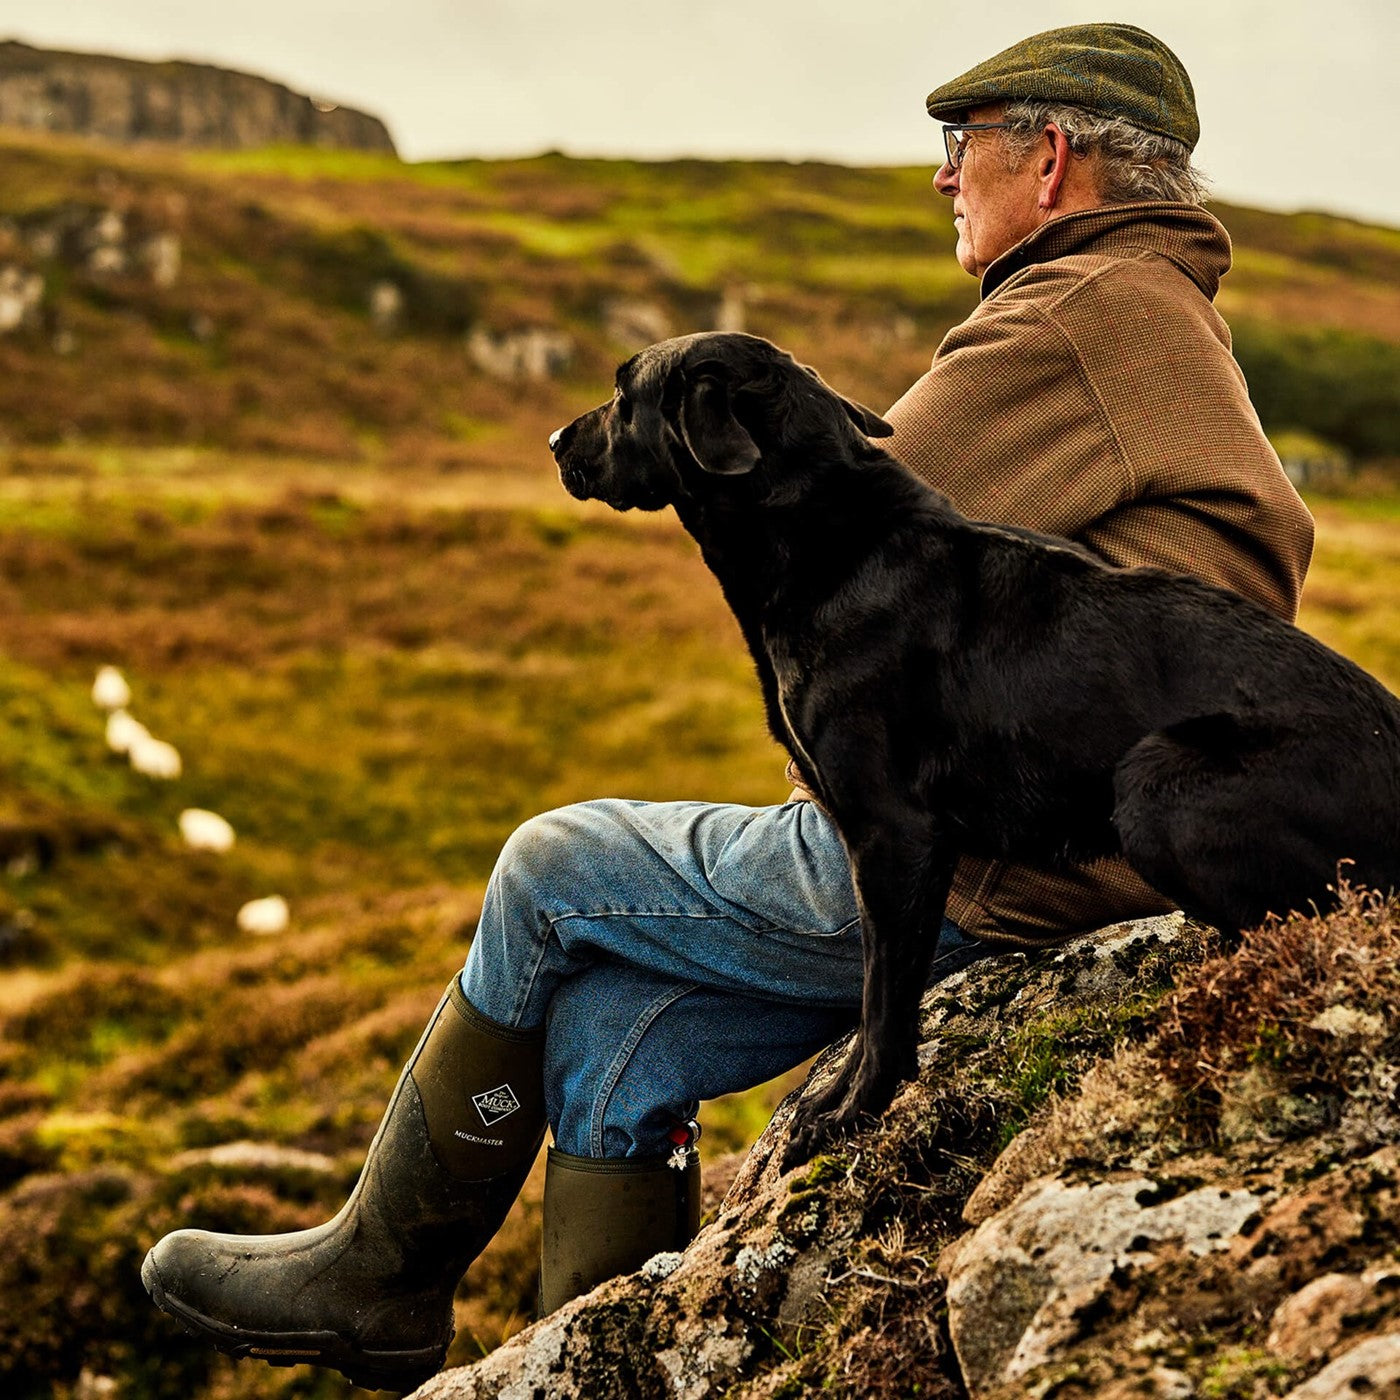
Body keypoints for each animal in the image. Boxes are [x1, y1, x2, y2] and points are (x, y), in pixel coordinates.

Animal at [546, 333, 1400, 1164]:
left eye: (623, 394)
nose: (554, 440)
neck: (829, 539)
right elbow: (878, 993)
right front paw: (838, 1105)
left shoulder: (895, 837)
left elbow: (884, 1001)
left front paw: (850, 1115)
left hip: (1157, 785)